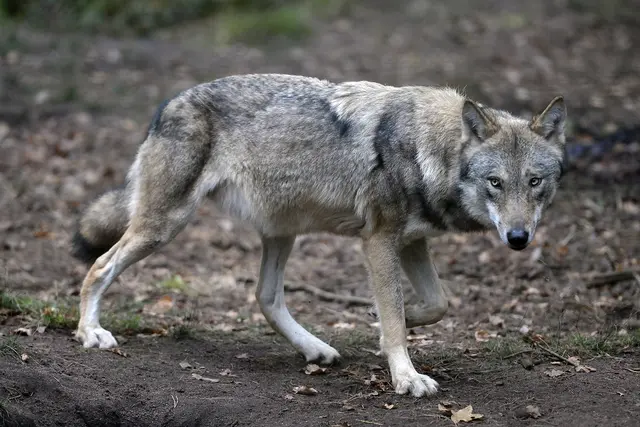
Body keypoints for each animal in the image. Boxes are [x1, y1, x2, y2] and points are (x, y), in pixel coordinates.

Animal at [71, 73, 567, 397]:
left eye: (535, 182)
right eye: (495, 183)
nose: (519, 237)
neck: (429, 152)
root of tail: (166, 105)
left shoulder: (411, 242)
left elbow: (435, 304)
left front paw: (387, 323)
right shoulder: (379, 240)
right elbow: (396, 315)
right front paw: (406, 376)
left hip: (281, 231)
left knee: (266, 297)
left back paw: (317, 349)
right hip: (164, 226)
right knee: (98, 266)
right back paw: (91, 333)